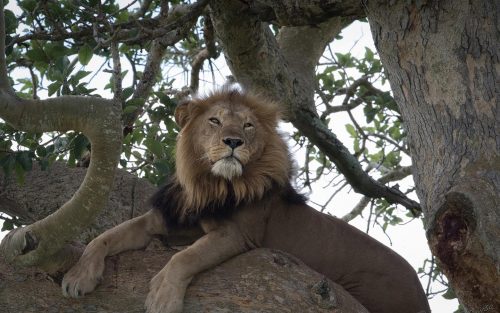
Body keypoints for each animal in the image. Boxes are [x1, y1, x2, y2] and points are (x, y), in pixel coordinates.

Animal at [62, 88, 430, 312]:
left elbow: (184, 258)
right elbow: (104, 237)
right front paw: (78, 278)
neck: (210, 185)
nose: (233, 141)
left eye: (249, 125)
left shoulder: (236, 234)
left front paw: (162, 298)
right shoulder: (165, 219)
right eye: (214, 120)